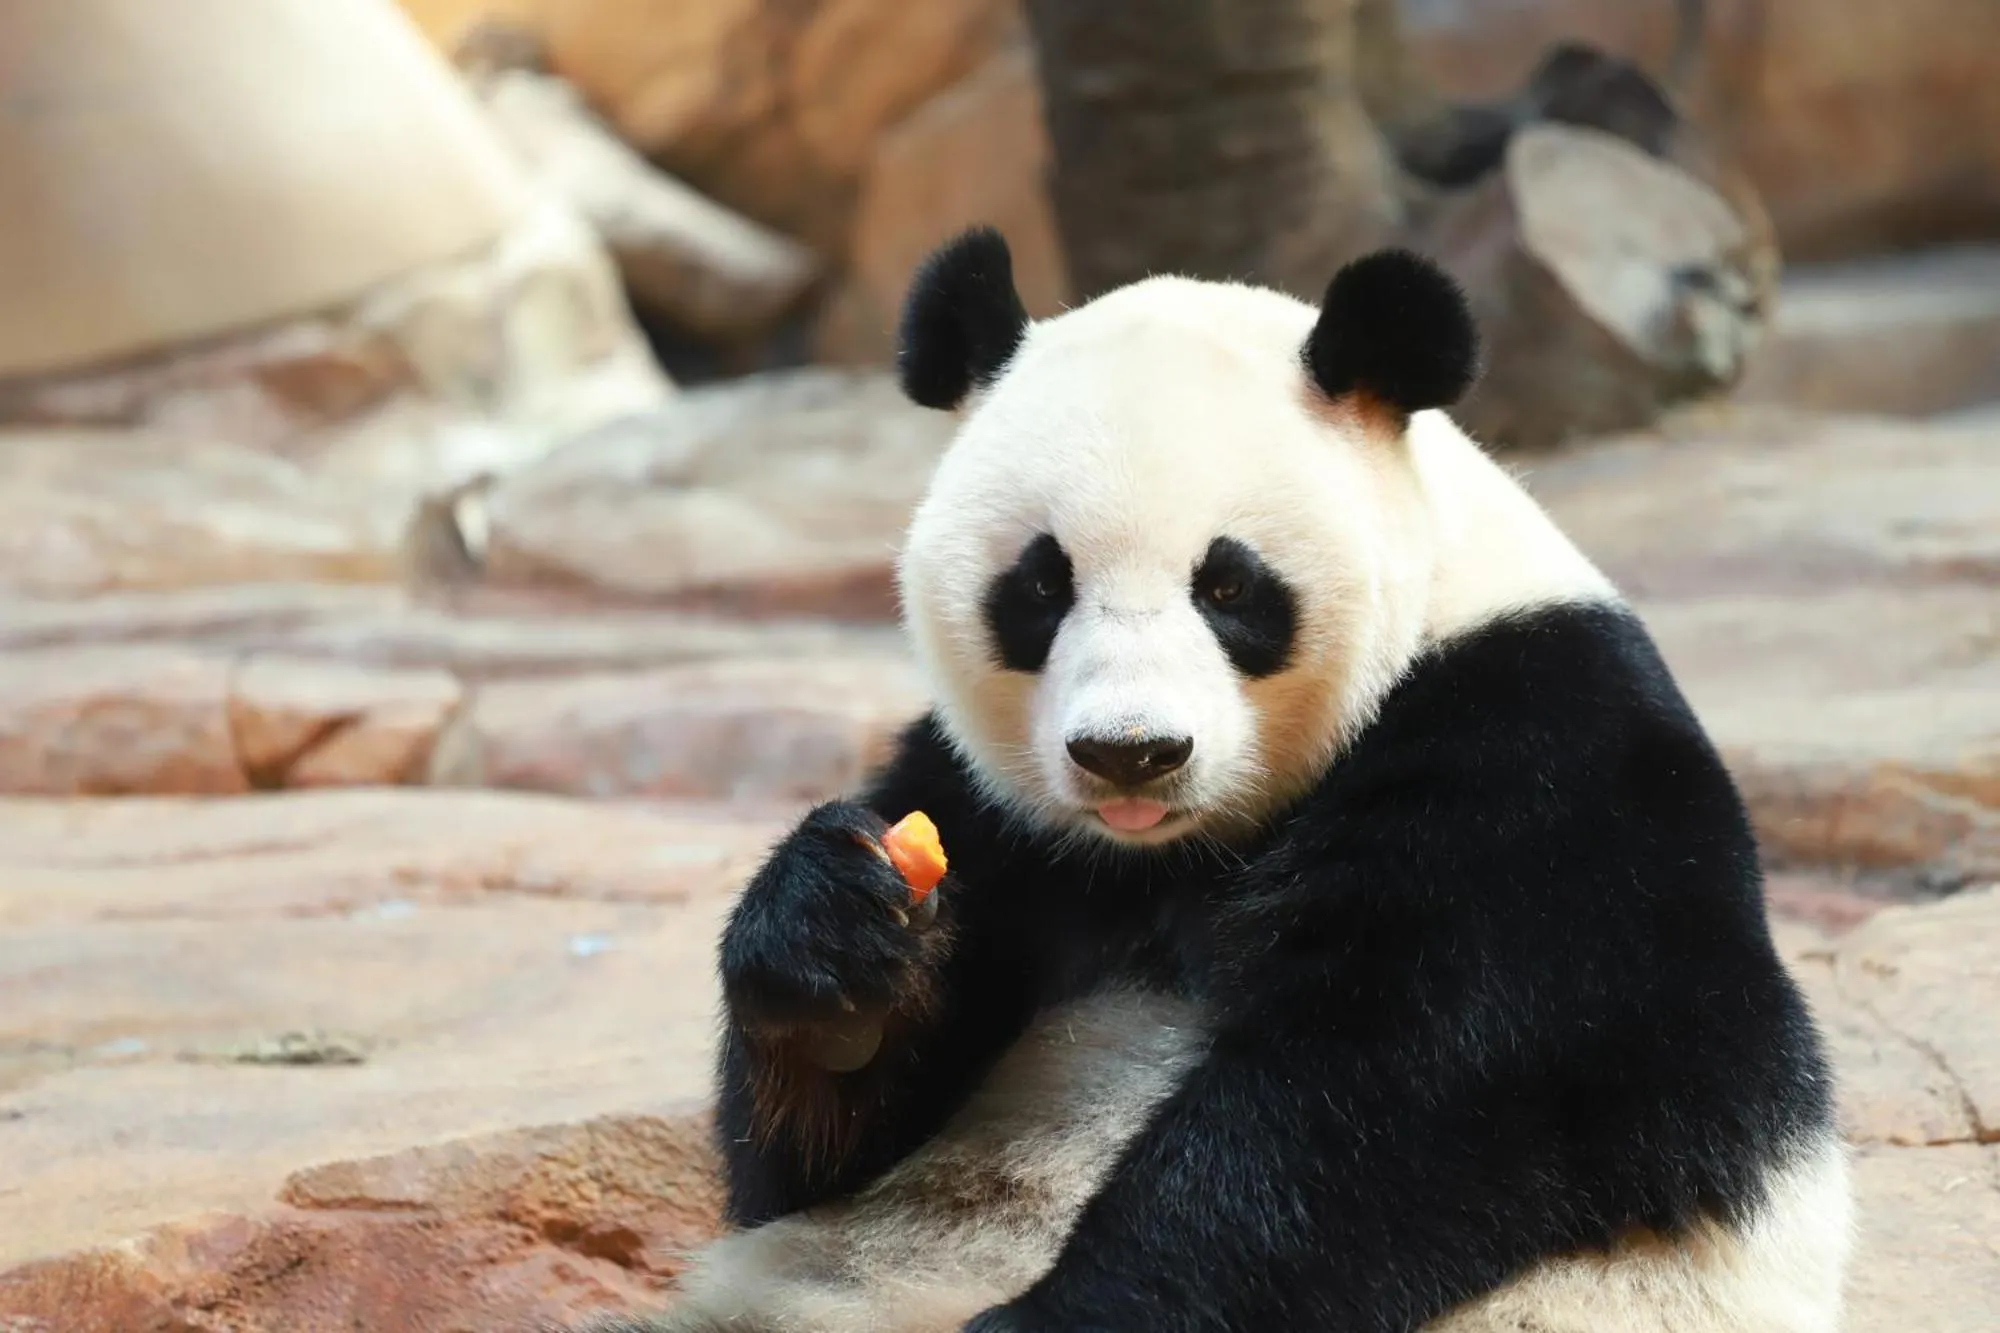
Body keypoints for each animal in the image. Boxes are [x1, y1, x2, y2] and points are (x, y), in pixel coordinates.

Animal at [586, 229, 1852, 1333]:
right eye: (1038, 585)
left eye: (1229, 586)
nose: (1129, 751)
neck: (1177, 850)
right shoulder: (992, 814)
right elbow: (802, 1164)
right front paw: (835, 943)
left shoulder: (1540, 765)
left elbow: (1400, 1094)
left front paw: (1067, 1316)